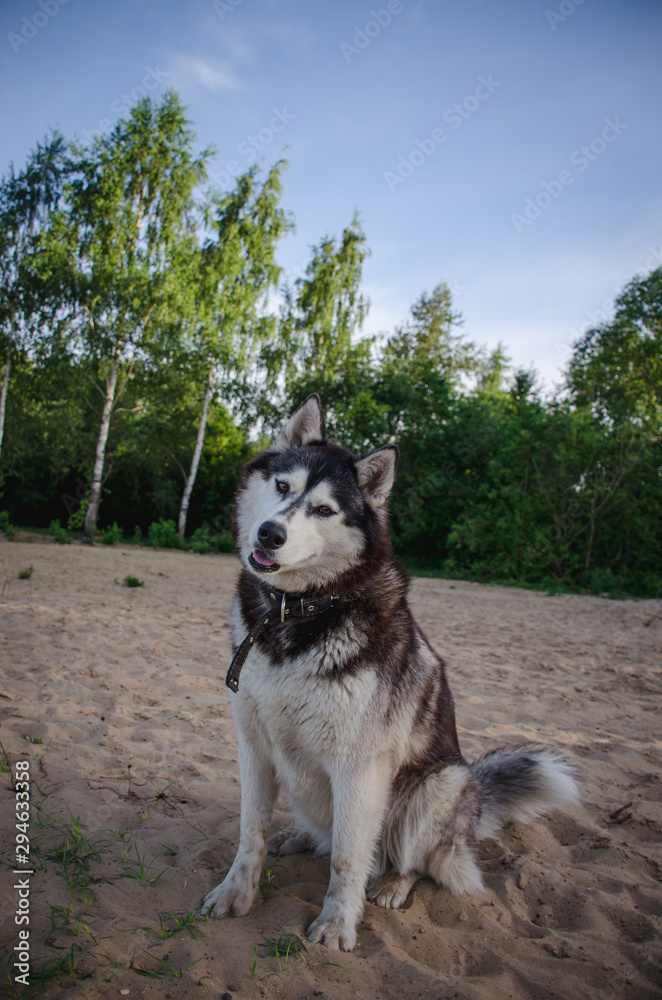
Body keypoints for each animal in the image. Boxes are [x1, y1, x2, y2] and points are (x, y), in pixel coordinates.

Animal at [204, 394, 580, 948]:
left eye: (324, 510)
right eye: (282, 487)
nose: (269, 534)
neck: (297, 613)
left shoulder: (359, 767)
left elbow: (346, 858)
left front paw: (337, 923)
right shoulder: (252, 743)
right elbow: (250, 833)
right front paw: (237, 893)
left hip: (440, 784)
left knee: (413, 861)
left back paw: (392, 884)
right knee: (325, 836)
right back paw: (298, 836)